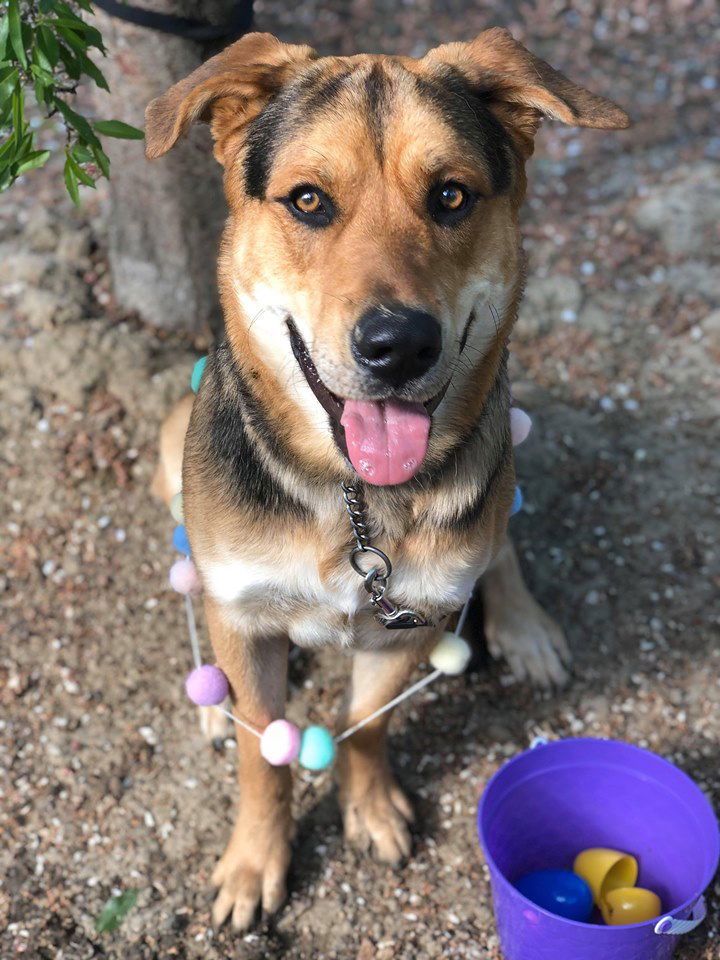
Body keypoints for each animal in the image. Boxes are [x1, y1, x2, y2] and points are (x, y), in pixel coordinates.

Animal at [143, 30, 628, 928]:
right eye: (307, 201)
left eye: (451, 196)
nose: (398, 345)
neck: (356, 504)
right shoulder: (248, 610)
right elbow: (266, 755)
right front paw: (254, 862)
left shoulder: (411, 619)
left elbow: (365, 723)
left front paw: (366, 803)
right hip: (168, 458)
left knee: (503, 535)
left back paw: (524, 625)